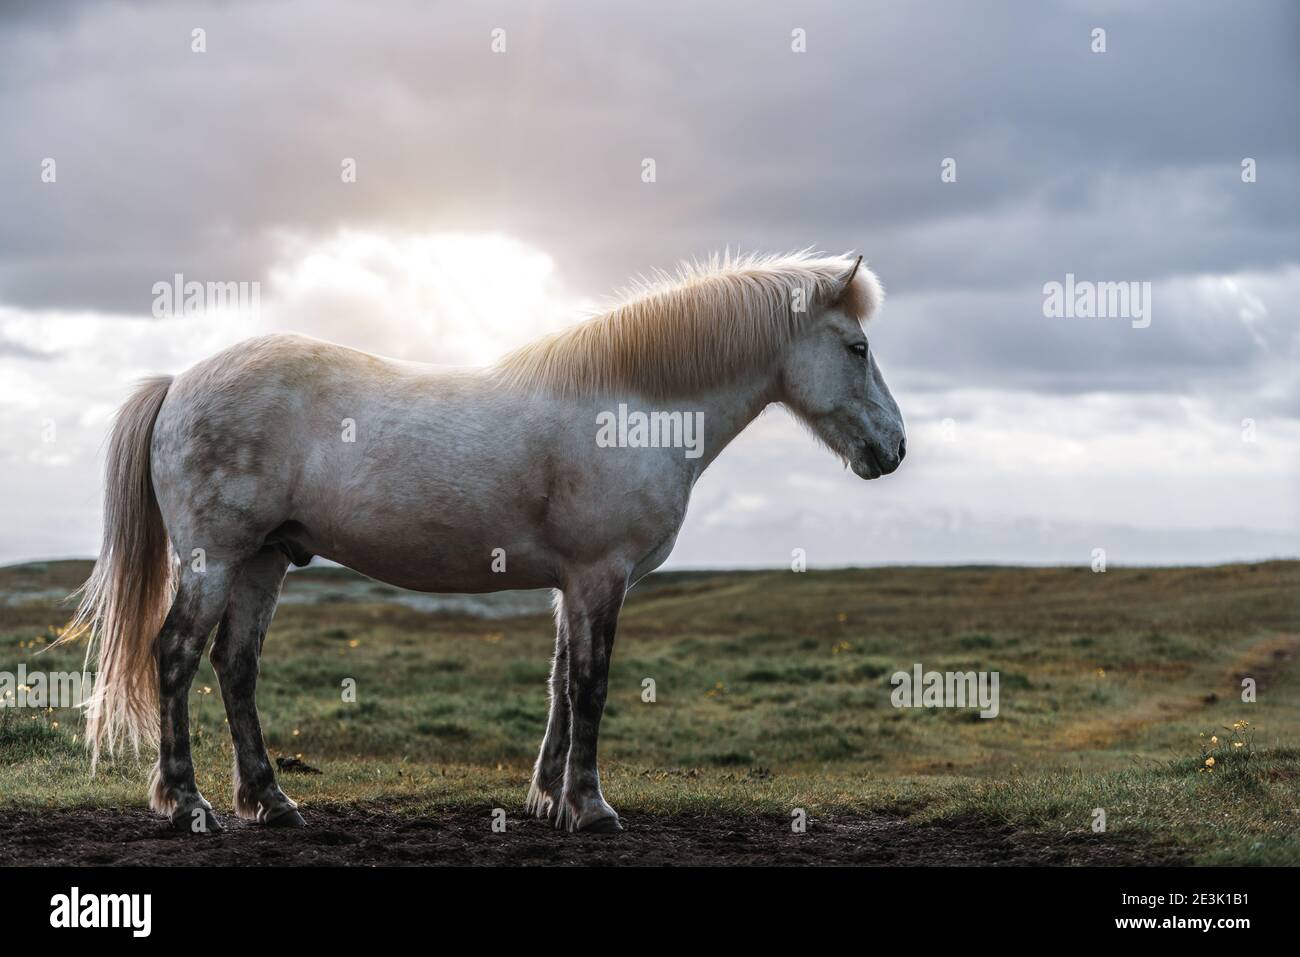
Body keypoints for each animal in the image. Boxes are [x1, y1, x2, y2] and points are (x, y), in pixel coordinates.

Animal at [63, 250, 904, 832]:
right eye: (857, 348)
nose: (893, 447)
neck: (634, 404)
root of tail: (179, 382)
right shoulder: (600, 577)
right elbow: (591, 685)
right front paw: (591, 806)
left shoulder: (575, 584)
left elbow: (562, 684)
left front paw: (548, 798)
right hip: (215, 558)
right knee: (175, 656)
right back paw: (187, 802)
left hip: (263, 561)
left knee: (235, 668)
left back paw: (271, 800)